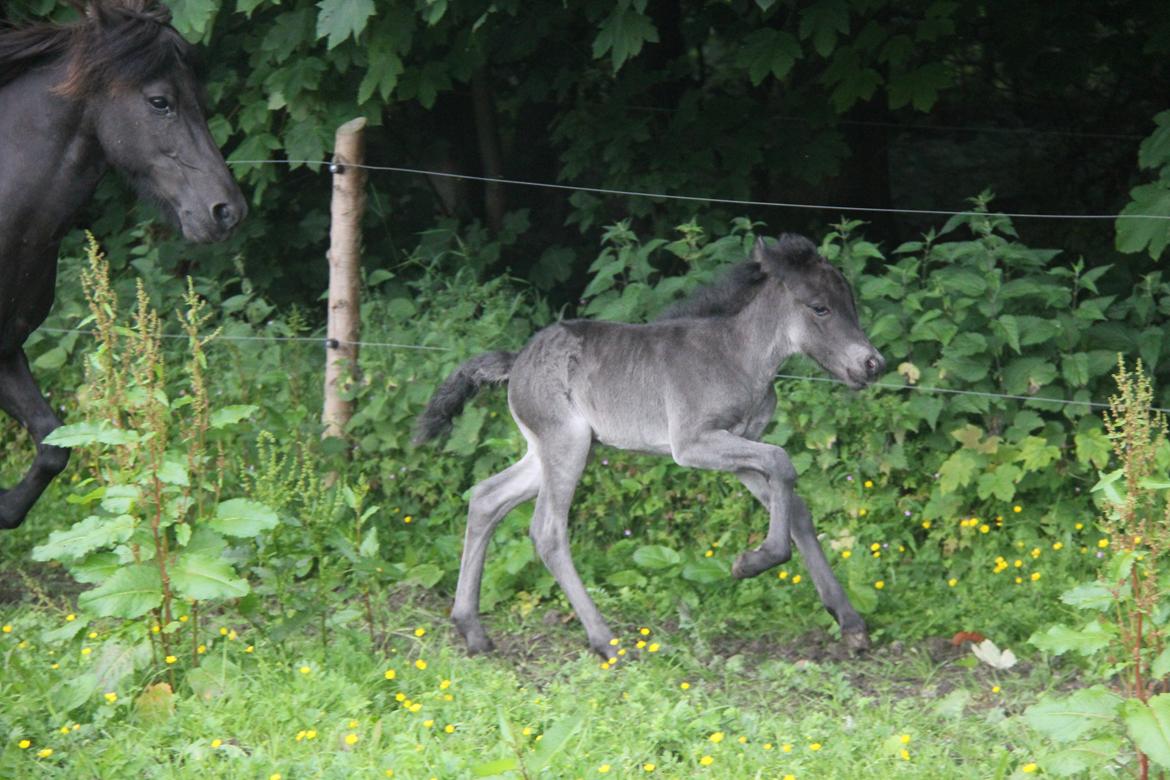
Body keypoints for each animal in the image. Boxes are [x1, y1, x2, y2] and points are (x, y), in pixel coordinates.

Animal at [416, 233, 879, 659]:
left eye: (852, 303)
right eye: (820, 307)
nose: (874, 364)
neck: (735, 355)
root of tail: (518, 362)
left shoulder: (741, 446)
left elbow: (794, 507)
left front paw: (850, 622)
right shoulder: (693, 443)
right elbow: (783, 463)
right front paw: (751, 562)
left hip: (547, 451)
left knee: (486, 498)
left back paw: (472, 631)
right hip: (567, 446)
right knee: (546, 530)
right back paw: (606, 641)